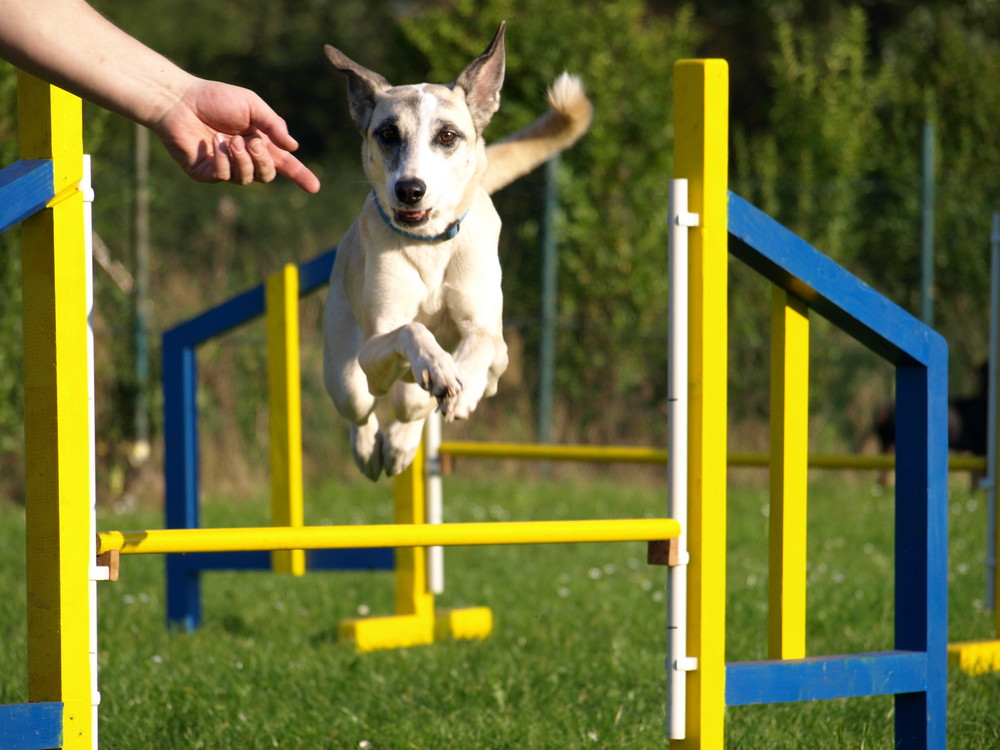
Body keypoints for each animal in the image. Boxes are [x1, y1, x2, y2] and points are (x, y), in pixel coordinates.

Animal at [324, 25, 588, 482]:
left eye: (447, 136)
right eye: (388, 134)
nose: (410, 190)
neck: (429, 244)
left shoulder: (496, 343)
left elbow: (480, 341)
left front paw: (461, 386)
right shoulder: (375, 345)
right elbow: (411, 329)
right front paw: (438, 365)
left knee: (411, 408)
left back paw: (401, 443)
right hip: (347, 375)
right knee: (362, 407)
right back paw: (370, 449)